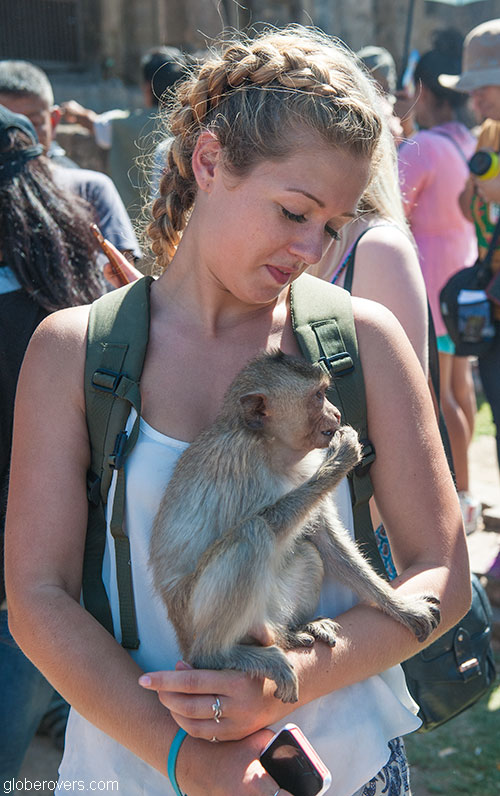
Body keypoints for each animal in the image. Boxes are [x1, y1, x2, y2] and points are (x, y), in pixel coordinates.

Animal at [149, 350, 441, 704]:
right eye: (317, 397)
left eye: (325, 392)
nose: (336, 412)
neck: (270, 446)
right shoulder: (238, 461)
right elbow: (266, 523)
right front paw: (339, 459)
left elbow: (327, 542)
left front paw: (401, 607)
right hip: (194, 614)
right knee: (253, 534)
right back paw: (217, 655)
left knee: (307, 554)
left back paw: (291, 631)